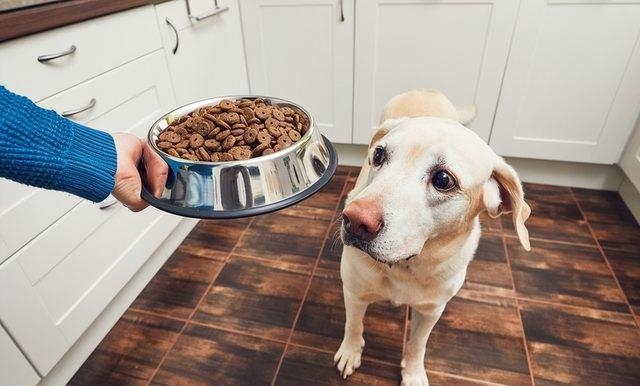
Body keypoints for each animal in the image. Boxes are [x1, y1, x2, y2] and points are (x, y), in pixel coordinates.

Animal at [336, 89, 528, 386]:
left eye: (443, 179)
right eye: (379, 155)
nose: (355, 221)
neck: (406, 266)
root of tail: (426, 89)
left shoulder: (431, 310)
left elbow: (418, 344)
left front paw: (413, 373)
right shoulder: (355, 292)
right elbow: (353, 325)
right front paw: (350, 352)